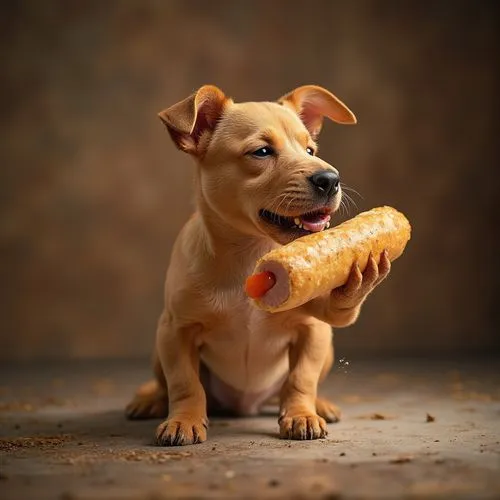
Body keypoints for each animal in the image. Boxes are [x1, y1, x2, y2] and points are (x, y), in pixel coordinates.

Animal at [125, 85, 390, 446]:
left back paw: (320, 404)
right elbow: (185, 383)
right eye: (262, 152)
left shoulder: (314, 329)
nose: (331, 178)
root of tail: (246, 405)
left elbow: (301, 379)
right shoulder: (176, 331)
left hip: (326, 351)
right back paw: (150, 399)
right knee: (166, 384)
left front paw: (301, 415)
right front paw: (183, 420)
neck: (253, 253)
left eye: (310, 149)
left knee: (294, 386)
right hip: (158, 349)